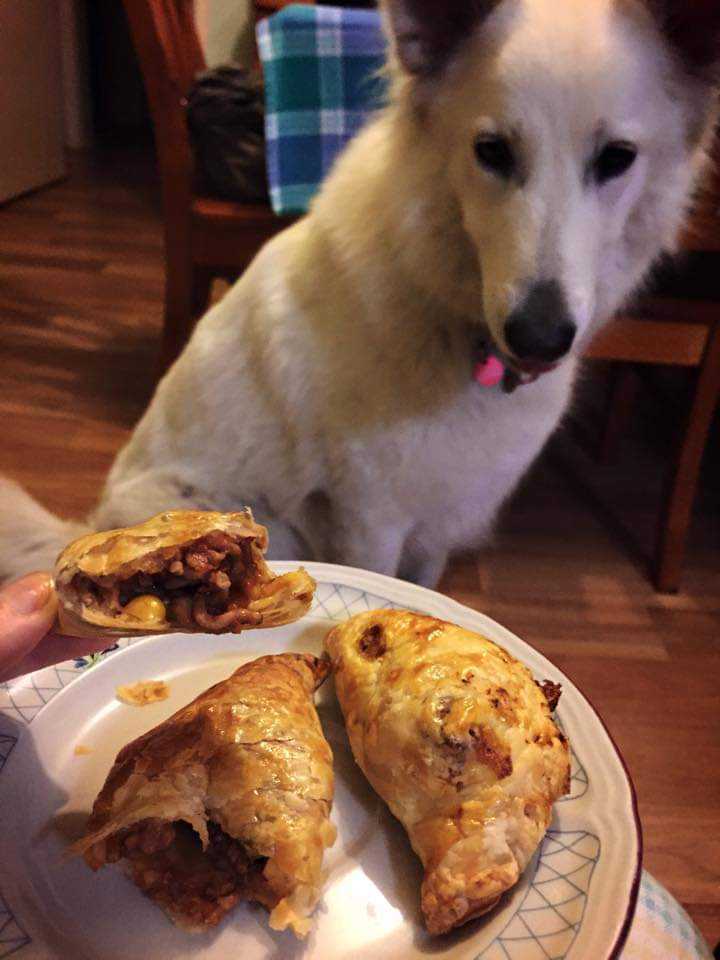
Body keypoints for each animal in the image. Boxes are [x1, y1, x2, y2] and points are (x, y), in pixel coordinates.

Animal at [1, 0, 720, 584]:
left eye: (617, 158)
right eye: (492, 151)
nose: (540, 338)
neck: (449, 319)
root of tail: (86, 528)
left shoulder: (438, 526)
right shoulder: (371, 520)